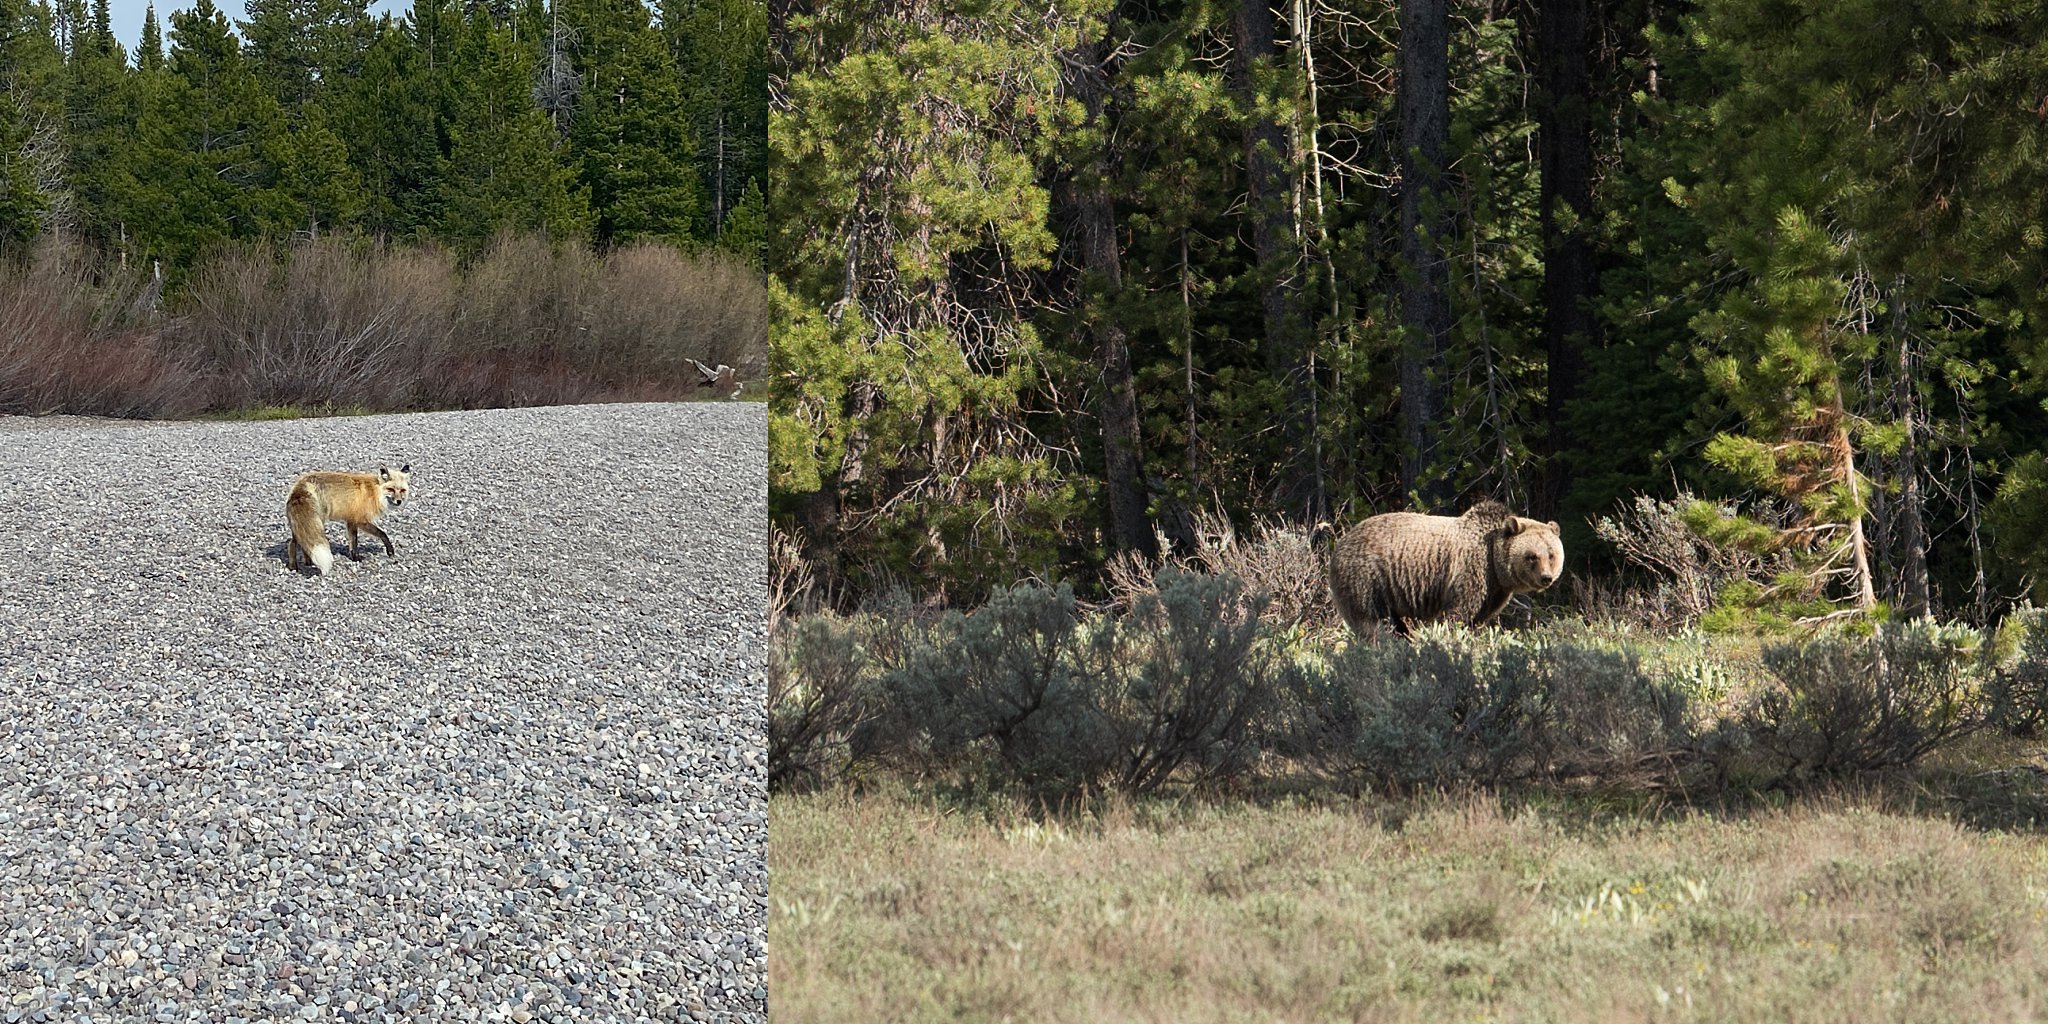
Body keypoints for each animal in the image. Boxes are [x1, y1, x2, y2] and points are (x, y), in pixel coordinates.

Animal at [1327, 499, 1564, 634]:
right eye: (1532, 556)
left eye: (1551, 554)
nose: (1546, 577)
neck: (1496, 566)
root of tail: (1339, 544)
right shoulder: (1469, 572)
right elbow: (1456, 614)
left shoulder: (1494, 592)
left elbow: (1477, 619)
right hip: (1367, 579)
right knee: (1372, 622)